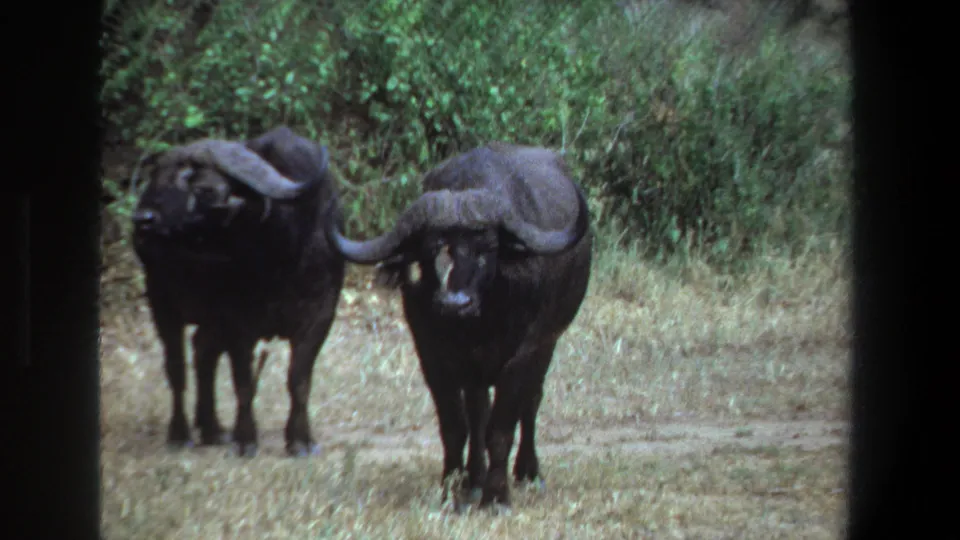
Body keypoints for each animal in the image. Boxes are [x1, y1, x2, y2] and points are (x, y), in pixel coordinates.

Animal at [131, 126, 345, 457]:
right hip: (162, 302)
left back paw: (212, 428)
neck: (282, 254)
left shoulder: (321, 313)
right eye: (157, 179)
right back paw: (181, 434)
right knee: (177, 368)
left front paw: (300, 440)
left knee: (203, 351)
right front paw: (246, 439)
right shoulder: (238, 320)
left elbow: (299, 379)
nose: (143, 219)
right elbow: (243, 381)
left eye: (204, 189)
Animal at [324, 142, 593, 507]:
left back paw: (528, 473)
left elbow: (502, 427)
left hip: (548, 344)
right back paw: (474, 480)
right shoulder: (432, 356)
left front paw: (497, 497)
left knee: (531, 401)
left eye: (487, 247)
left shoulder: (524, 354)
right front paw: (453, 489)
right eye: (429, 248)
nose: (455, 303)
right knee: (478, 414)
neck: (478, 325)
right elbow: (456, 427)